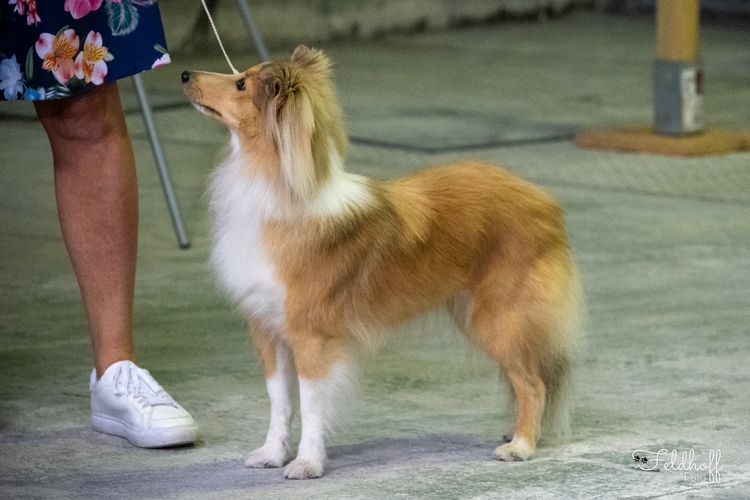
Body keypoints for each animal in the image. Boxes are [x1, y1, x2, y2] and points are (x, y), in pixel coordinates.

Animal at [184, 45, 588, 478]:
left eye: (241, 84)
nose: (185, 74)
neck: (277, 187)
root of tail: (546, 203)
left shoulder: (311, 336)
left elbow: (311, 404)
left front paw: (307, 462)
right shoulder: (268, 330)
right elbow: (280, 401)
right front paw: (272, 454)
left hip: (498, 318)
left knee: (533, 383)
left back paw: (522, 445)